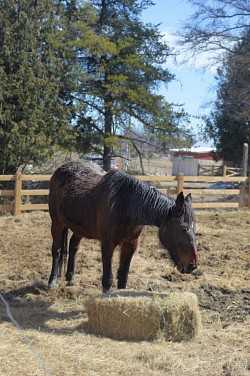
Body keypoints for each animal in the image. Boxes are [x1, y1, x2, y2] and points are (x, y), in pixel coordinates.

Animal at [48, 160, 197, 292]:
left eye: (195, 229)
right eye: (183, 228)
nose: (192, 265)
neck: (124, 206)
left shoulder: (130, 245)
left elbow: (123, 278)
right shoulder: (107, 245)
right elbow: (107, 280)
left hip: (79, 228)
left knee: (73, 246)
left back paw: (70, 278)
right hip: (57, 222)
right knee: (56, 249)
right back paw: (52, 281)